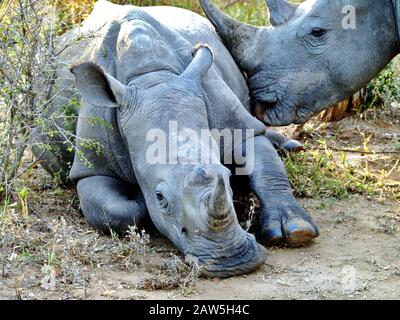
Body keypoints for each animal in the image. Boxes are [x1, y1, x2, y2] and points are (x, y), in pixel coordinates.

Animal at [31, 1, 318, 278]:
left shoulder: (227, 113)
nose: (232, 262)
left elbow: (267, 166)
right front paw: (139, 197)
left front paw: (297, 231)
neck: (152, 77)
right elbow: (114, 211)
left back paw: (290, 147)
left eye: (227, 178)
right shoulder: (92, 165)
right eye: (160, 198)